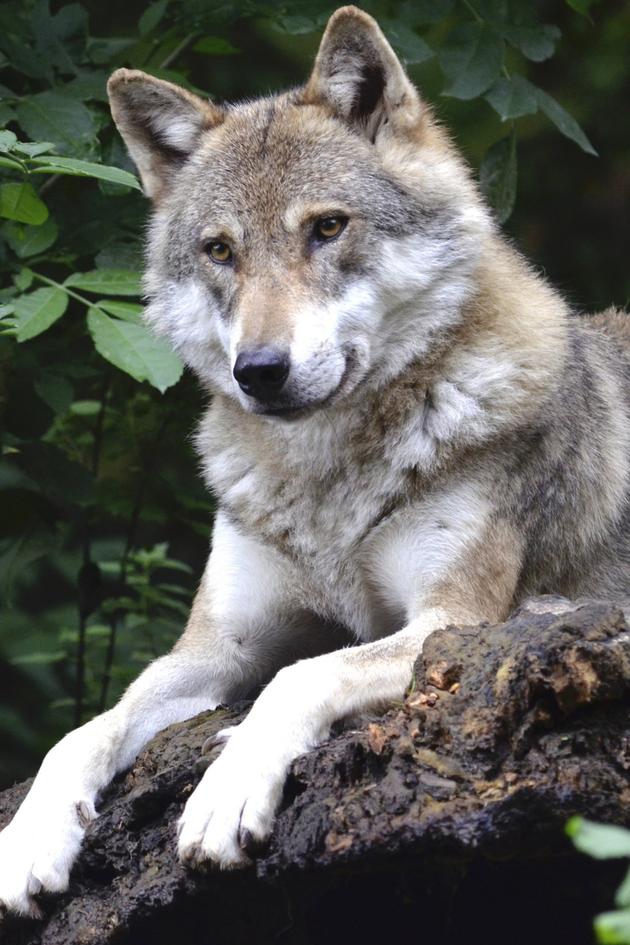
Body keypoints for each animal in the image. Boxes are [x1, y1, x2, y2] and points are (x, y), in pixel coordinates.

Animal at [1, 3, 629, 918]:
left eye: (327, 227)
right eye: (220, 251)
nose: (259, 370)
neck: (326, 479)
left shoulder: (453, 624)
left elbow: (299, 676)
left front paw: (226, 793)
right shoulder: (215, 647)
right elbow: (85, 729)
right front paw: (27, 840)